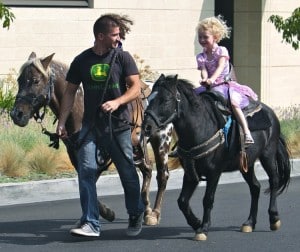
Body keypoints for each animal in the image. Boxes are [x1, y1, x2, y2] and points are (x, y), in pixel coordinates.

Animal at [143, 74, 290, 240]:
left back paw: (274, 218)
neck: (200, 128)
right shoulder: (191, 173)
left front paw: (203, 228)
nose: (146, 127)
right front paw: (196, 223)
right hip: (247, 164)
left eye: (166, 100)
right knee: (255, 187)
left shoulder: (214, 172)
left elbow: (208, 199)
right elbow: (182, 201)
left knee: (274, 181)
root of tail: (270, 113)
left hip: (268, 155)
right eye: (149, 98)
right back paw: (249, 223)